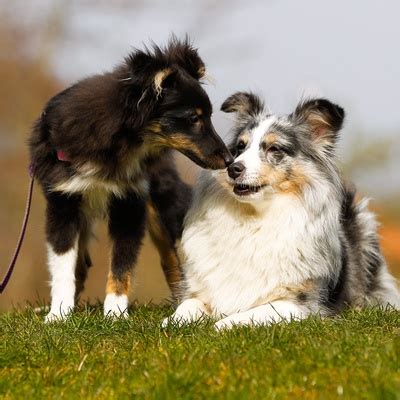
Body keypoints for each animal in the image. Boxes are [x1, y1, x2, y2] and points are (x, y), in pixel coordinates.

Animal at [29, 37, 233, 322]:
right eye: (194, 118)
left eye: (209, 116)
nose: (229, 160)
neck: (119, 142)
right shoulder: (63, 199)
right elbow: (63, 262)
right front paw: (58, 314)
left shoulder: (130, 201)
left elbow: (121, 260)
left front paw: (115, 312)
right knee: (82, 262)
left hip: (160, 201)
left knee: (171, 257)